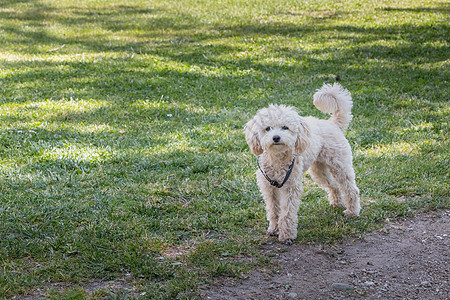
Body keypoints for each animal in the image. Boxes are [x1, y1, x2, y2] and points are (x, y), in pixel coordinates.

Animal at [244, 83, 360, 245]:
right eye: (267, 128)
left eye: (285, 127)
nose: (276, 137)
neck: (278, 158)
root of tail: (332, 123)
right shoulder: (269, 187)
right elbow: (273, 210)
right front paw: (274, 228)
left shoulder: (291, 187)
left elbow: (287, 213)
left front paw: (287, 235)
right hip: (319, 170)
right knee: (334, 186)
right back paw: (337, 203)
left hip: (340, 166)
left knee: (351, 189)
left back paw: (352, 212)